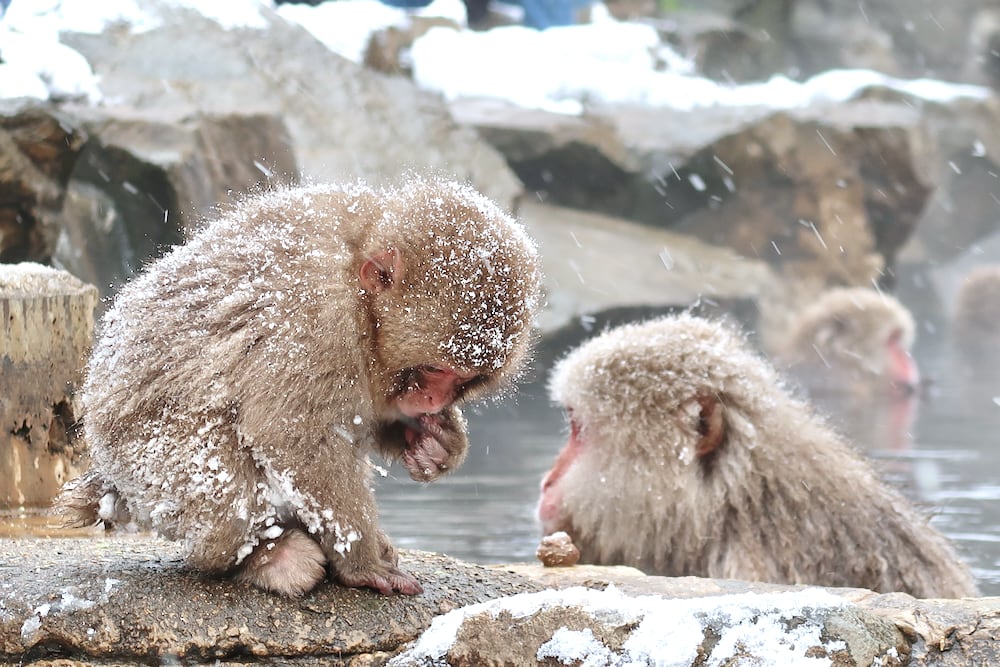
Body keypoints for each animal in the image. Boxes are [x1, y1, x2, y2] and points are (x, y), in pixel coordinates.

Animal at [58, 177, 544, 600]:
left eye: (463, 380)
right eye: (431, 369)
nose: (434, 399)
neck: (358, 286)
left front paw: (436, 444)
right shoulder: (315, 322)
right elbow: (294, 436)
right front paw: (363, 563)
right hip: (148, 461)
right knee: (223, 496)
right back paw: (267, 556)